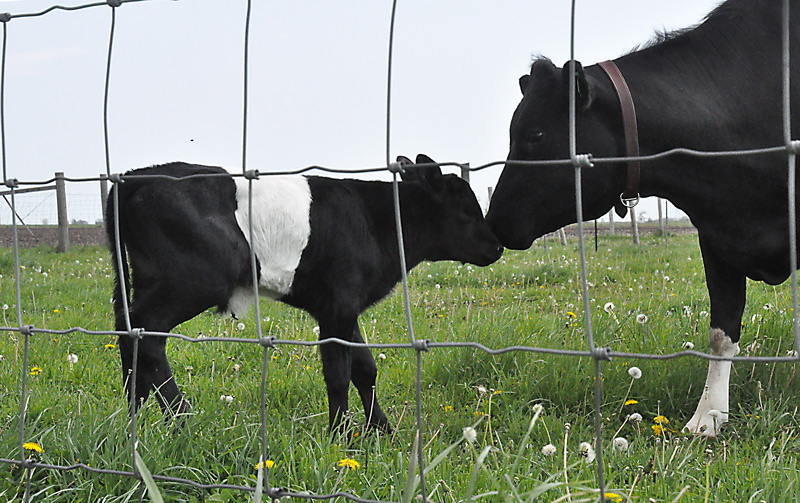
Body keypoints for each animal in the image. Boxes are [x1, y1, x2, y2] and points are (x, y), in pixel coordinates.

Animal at [107, 155, 503, 434]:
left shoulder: (343, 308)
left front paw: (382, 430)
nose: (498, 246)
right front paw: (340, 435)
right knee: (148, 334)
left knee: (129, 332)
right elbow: (339, 372)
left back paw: (134, 417)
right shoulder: (338, 305)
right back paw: (181, 418)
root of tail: (137, 175)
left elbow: (365, 367)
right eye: (465, 208)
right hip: (192, 281)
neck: (378, 220)